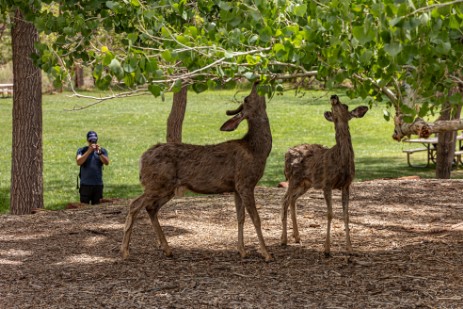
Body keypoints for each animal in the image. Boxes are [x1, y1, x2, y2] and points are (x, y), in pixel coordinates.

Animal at [280, 94, 368, 255]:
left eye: (345, 106)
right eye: (333, 109)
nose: (334, 96)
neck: (341, 160)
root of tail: (286, 152)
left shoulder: (346, 185)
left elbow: (346, 215)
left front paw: (350, 248)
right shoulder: (327, 183)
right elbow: (330, 214)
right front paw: (326, 249)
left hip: (306, 183)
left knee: (293, 200)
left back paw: (297, 237)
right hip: (293, 178)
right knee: (284, 200)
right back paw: (283, 240)